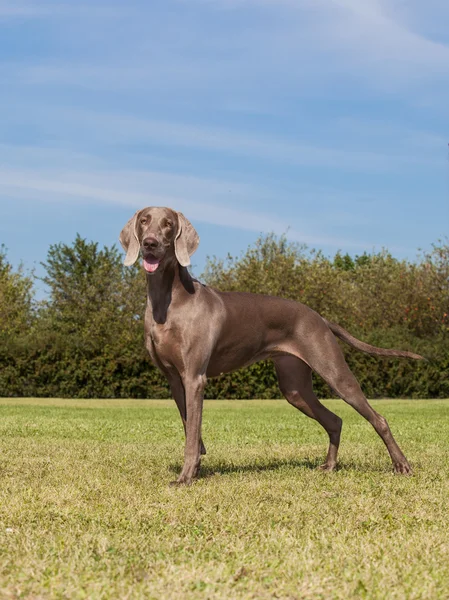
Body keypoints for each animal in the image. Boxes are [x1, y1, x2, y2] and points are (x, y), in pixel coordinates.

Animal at [119, 209, 424, 486]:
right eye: (144, 220)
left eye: (168, 224)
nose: (150, 243)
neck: (169, 300)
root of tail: (320, 317)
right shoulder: (174, 380)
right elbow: (190, 429)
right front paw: (195, 470)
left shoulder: (195, 378)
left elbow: (192, 436)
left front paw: (185, 477)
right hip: (295, 386)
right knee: (334, 420)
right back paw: (329, 465)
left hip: (334, 372)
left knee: (378, 418)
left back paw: (401, 465)